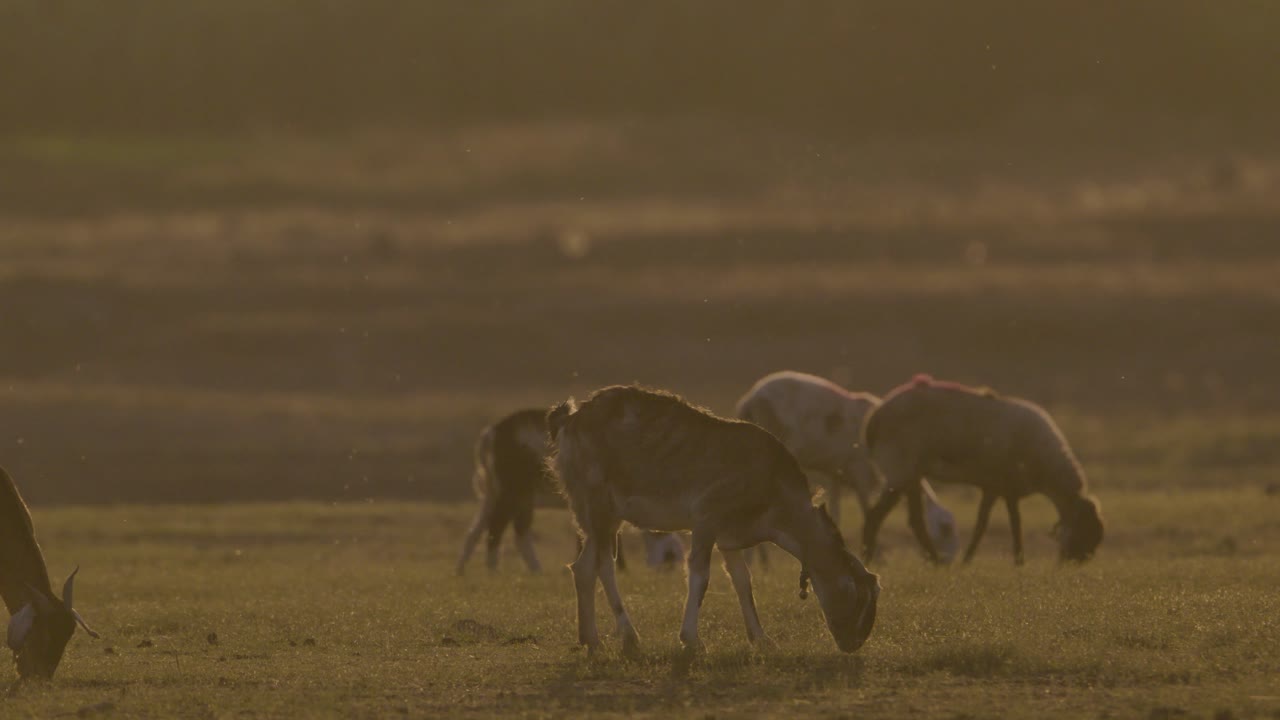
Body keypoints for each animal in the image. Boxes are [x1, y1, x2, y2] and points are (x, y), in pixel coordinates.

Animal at [455, 408, 681, 574]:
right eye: (670, 557)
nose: (669, 569)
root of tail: (491, 433)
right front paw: (620, 569)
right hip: (513, 489)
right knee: (499, 526)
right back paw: (495, 569)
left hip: (502, 491)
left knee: (484, 528)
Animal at [547, 385, 879, 655]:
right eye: (856, 596)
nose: (852, 644)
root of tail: (569, 419)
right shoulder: (707, 517)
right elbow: (700, 575)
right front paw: (692, 640)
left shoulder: (730, 536)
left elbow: (743, 581)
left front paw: (762, 639)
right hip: (597, 503)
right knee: (605, 565)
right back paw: (629, 636)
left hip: (602, 515)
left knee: (583, 568)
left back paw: (591, 640)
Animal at [737, 371, 959, 563]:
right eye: (946, 528)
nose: (949, 561)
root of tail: (749, 401)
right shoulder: (860, 470)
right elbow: (866, 509)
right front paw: (874, 556)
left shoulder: (835, 473)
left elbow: (836, 513)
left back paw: (761, 562)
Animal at [860, 375, 1104, 565]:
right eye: (1085, 530)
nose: (1072, 564)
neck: (1047, 470)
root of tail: (873, 419)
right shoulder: (1002, 484)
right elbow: (1002, 524)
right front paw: (1012, 561)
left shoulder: (999, 487)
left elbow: (994, 523)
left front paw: (982, 560)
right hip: (899, 469)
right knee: (877, 515)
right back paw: (872, 557)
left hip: (910, 473)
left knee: (914, 520)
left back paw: (932, 561)